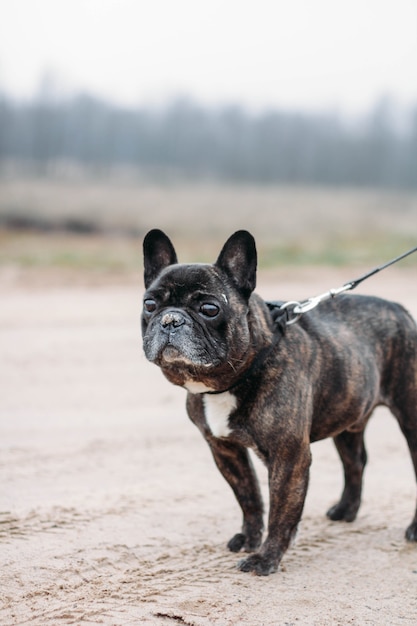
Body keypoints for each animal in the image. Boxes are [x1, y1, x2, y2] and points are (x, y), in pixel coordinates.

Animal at [141, 227, 416, 572]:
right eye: (150, 304)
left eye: (209, 309)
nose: (170, 320)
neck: (231, 380)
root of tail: (401, 310)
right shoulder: (224, 450)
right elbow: (249, 498)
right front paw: (249, 538)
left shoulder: (288, 457)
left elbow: (281, 509)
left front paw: (266, 557)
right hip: (347, 415)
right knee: (355, 461)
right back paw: (346, 511)